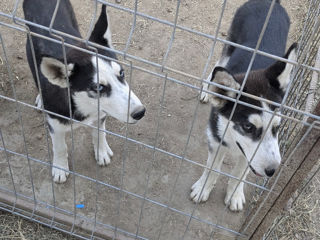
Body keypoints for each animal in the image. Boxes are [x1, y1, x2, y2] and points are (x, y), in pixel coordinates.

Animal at [23, 0, 146, 183]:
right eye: (98, 87)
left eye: (122, 73)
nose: (140, 112)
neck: (84, 106)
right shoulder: (54, 123)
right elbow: (59, 146)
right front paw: (60, 167)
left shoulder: (101, 113)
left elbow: (99, 133)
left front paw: (101, 151)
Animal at [190, 0, 298, 210]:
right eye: (248, 127)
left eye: (277, 126)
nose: (272, 170)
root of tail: (270, 2)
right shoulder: (215, 138)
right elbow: (212, 168)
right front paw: (203, 187)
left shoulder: (249, 157)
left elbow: (240, 174)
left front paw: (235, 194)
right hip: (230, 44)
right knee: (218, 64)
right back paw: (208, 89)